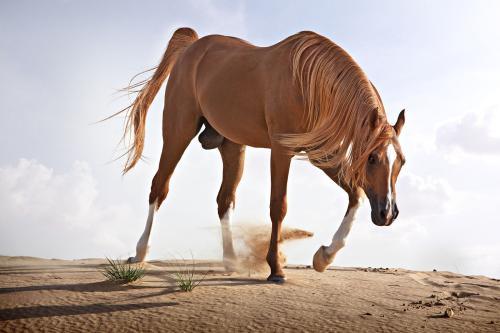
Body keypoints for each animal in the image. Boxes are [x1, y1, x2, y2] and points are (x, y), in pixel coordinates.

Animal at [111, 27, 404, 280]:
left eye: (401, 162)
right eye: (372, 158)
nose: (388, 214)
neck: (307, 81)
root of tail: (191, 48)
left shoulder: (320, 153)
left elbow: (356, 193)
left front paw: (324, 257)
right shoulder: (282, 151)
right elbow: (278, 206)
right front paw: (276, 269)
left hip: (231, 146)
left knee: (224, 201)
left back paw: (230, 261)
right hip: (178, 132)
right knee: (159, 188)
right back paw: (140, 253)